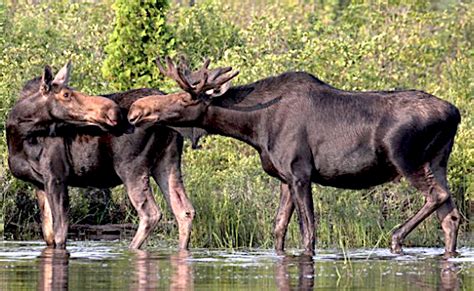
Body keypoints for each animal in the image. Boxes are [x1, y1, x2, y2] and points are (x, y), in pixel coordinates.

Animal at [6, 61, 198, 249]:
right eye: (66, 94)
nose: (112, 111)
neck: (18, 137)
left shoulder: (56, 177)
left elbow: (60, 235)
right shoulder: (38, 184)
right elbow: (48, 235)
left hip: (131, 166)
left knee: (151, 213)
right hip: (167, 161)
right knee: (184, 211)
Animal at [128, 57, 462, 258]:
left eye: (186, 97)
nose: (136, 110)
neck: (254, 127)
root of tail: (455, 113)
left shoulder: (301, 174)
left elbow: (308, 232)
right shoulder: (284, 178)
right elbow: (278, 229)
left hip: (406, 159)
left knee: (438, 196)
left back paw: (396, 238)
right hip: (438, 161)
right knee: (451, 215)